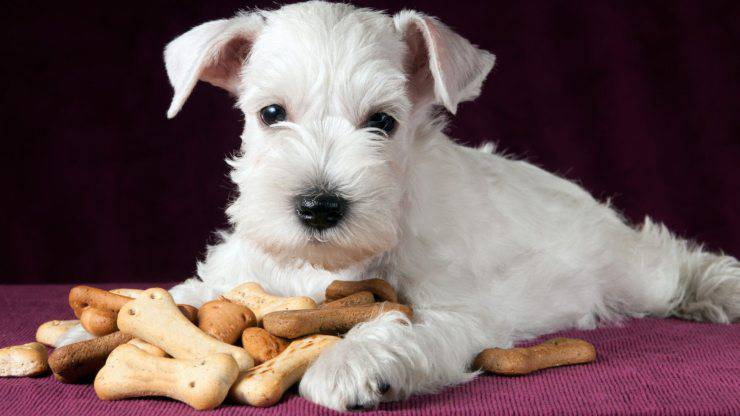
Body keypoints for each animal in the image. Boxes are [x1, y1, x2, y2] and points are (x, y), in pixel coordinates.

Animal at [55, 0, 736, 410]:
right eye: (271, 113)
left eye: (382, 122)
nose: (318, 207)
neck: (322, 264)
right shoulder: (241, 273)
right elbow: (187, 293)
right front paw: (83, 329)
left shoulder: (454, 308)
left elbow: (402, 324)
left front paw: (351, 362)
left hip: (635, 271)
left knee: (676, 261)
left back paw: (720, 290)